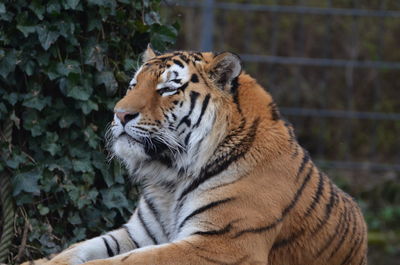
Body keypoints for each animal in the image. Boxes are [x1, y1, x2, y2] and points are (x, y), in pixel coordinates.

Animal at [21, 46, 366, 264]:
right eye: (133, 85)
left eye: (167, 89)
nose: (119, 114)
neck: (169, 176)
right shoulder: (139, 233)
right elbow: (76, 249)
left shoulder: (220, 243)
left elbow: (125, 262)